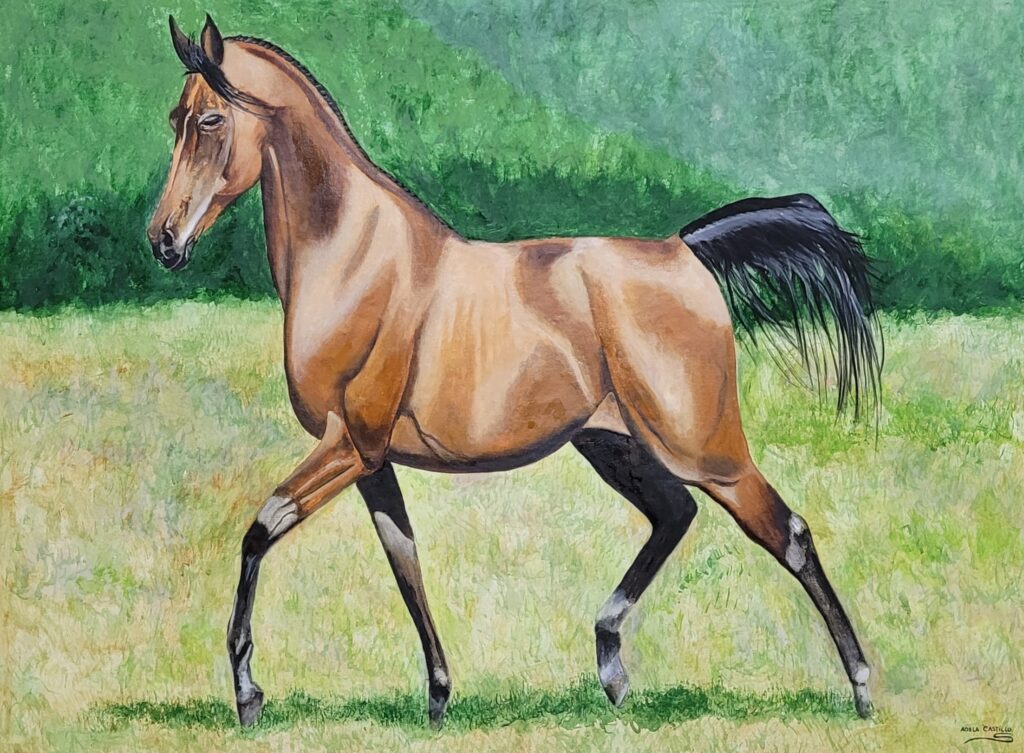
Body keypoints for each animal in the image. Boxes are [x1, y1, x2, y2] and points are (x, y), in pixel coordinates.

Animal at [147, 15, 882, 728]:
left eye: (210, 120)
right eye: (174, 118)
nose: (163, 240)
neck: (352, 258)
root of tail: (683, 250)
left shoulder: (348, 444)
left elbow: (259, 530)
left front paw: (248, 694)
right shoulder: (373, 461)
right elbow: (405, 561)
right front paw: (438, 695)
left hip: (705, 449)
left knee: (787, 534)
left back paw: (861, 688)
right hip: (614, 445)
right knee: (675, 515)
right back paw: (612, 670)